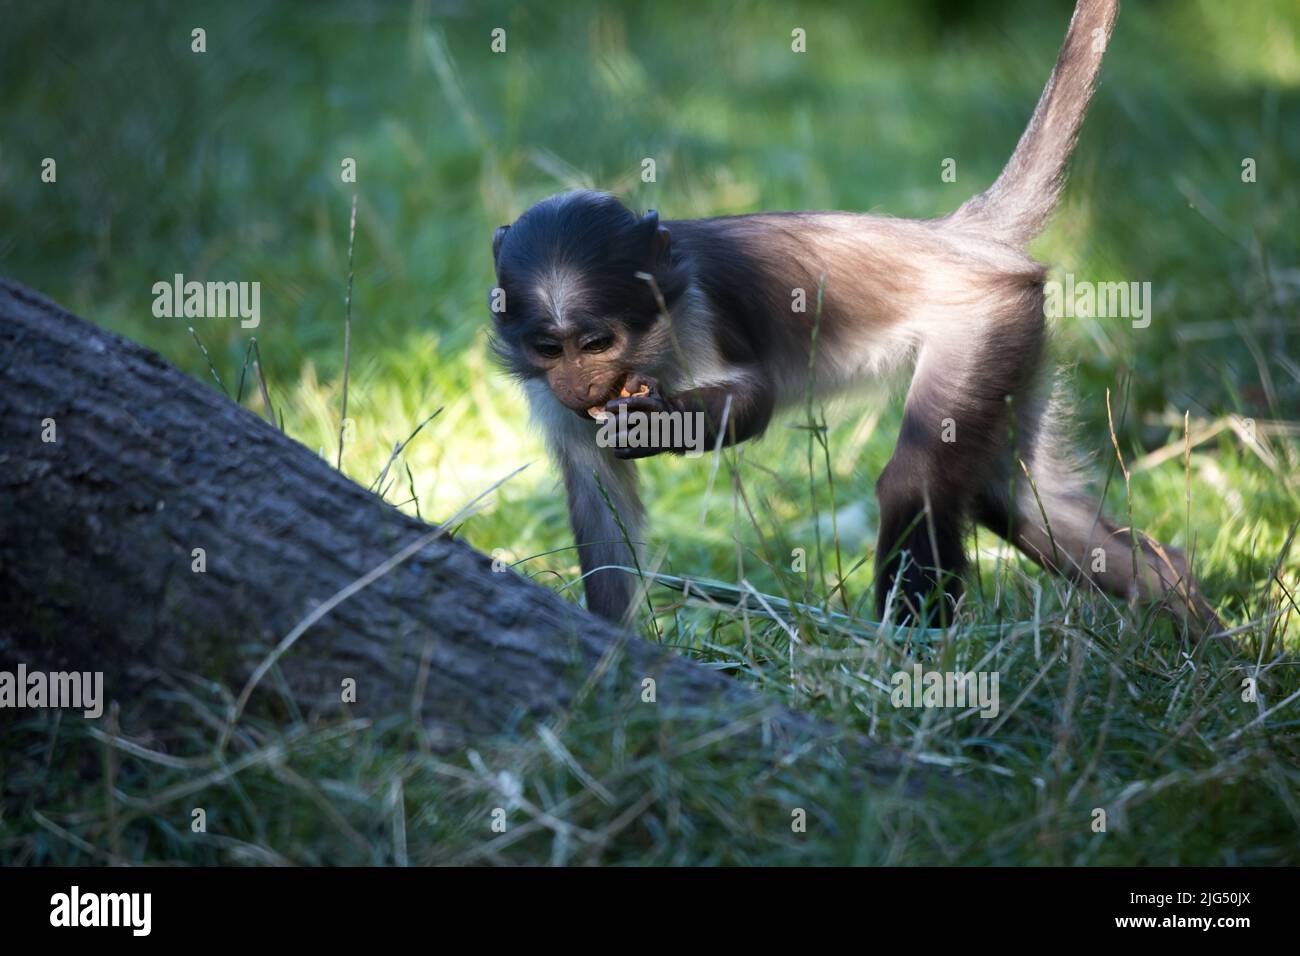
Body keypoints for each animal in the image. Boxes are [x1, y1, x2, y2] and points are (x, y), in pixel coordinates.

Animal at [486, 1, 1216, 634]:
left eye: (596, 342)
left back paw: (907, 655)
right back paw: (1197, 622)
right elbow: (600, 516)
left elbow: (756, 398)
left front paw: (658, 422)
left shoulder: (695, 308)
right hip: (1021, 334)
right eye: (552, 350)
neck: (647, 345)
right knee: (1014, 497)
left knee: (917, 481)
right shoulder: (549, 395)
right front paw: (608, 649)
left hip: (984, 319)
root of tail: (960, 236)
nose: (579, 384)